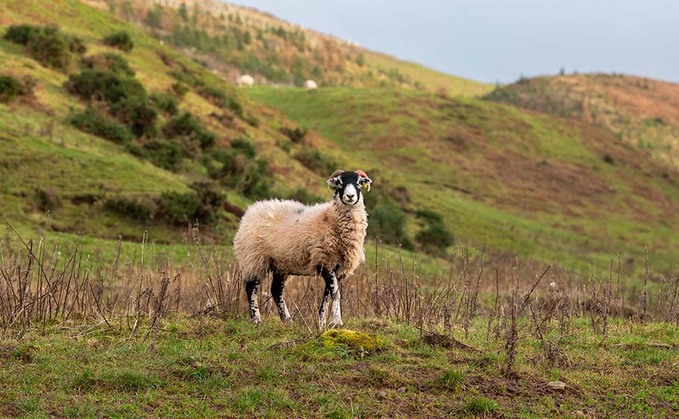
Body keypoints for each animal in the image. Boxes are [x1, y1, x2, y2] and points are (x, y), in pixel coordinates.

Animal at [232, 170, 372, 328]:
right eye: (339, 183)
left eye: (359, 183)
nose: (350, 196)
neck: (331, 219)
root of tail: (250, 211)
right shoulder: (325, 261)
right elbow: (336, 293)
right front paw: (337, 321)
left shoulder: (338, 268)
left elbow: (327, 295)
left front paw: (321, 323)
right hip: (254, 258)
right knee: (251, 287)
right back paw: (256, 319)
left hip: (280, 264)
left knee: (276, 290)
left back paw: (287, 320)